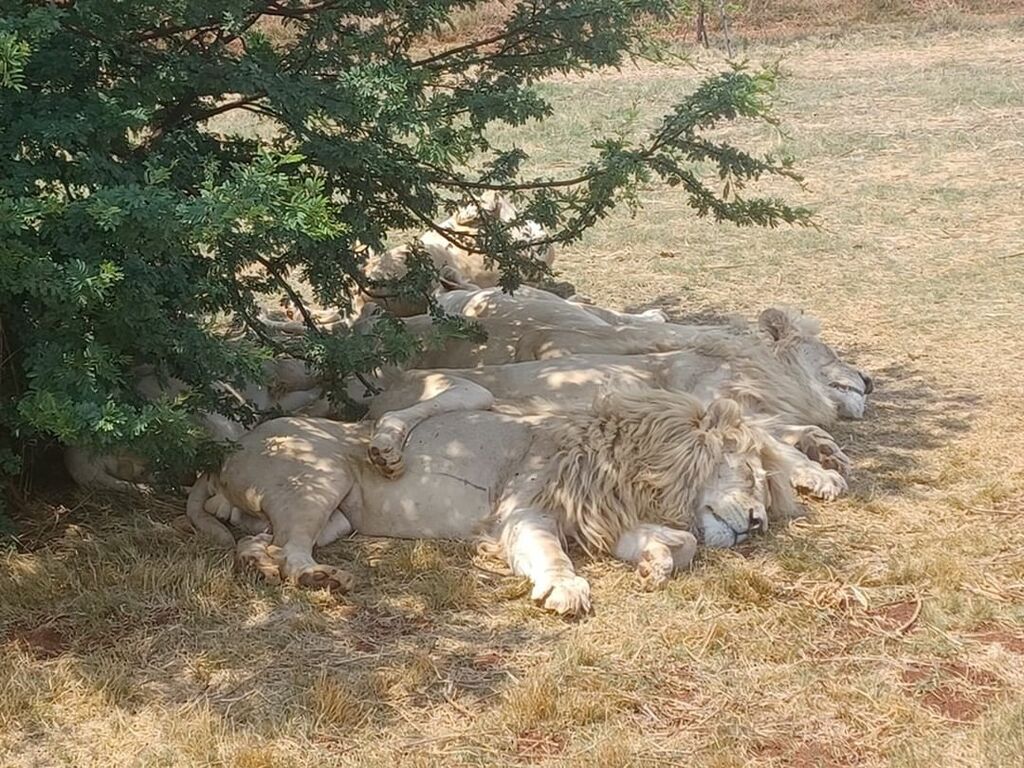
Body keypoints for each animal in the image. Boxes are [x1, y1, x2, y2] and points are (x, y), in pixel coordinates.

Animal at [187, 390, 802, 615]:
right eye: (751, 473)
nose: (757, 522)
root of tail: (219, 459)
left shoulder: (603, 519)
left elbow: (681, 543)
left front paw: (656, 564)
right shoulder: (525, 511)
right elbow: (551, 553)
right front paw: (566, 589)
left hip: (332, 518)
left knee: (261, 542)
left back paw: (258, 565)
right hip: (321, 477)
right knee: (294, 553)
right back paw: (319, 578)